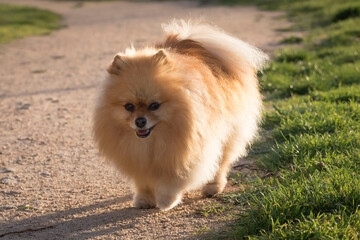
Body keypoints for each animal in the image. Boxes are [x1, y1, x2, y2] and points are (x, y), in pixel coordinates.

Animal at [93, 20, 268, 210]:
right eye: (129, 107)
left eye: (154, 106)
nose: (140, 121)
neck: (153, 142)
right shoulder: (139, 160)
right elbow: (143, 180)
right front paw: (144, 198)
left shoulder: (188, 150)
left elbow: (174, 179)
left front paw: (166, 200)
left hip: (229, 132)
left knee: (221, 162)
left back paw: (212, 187)